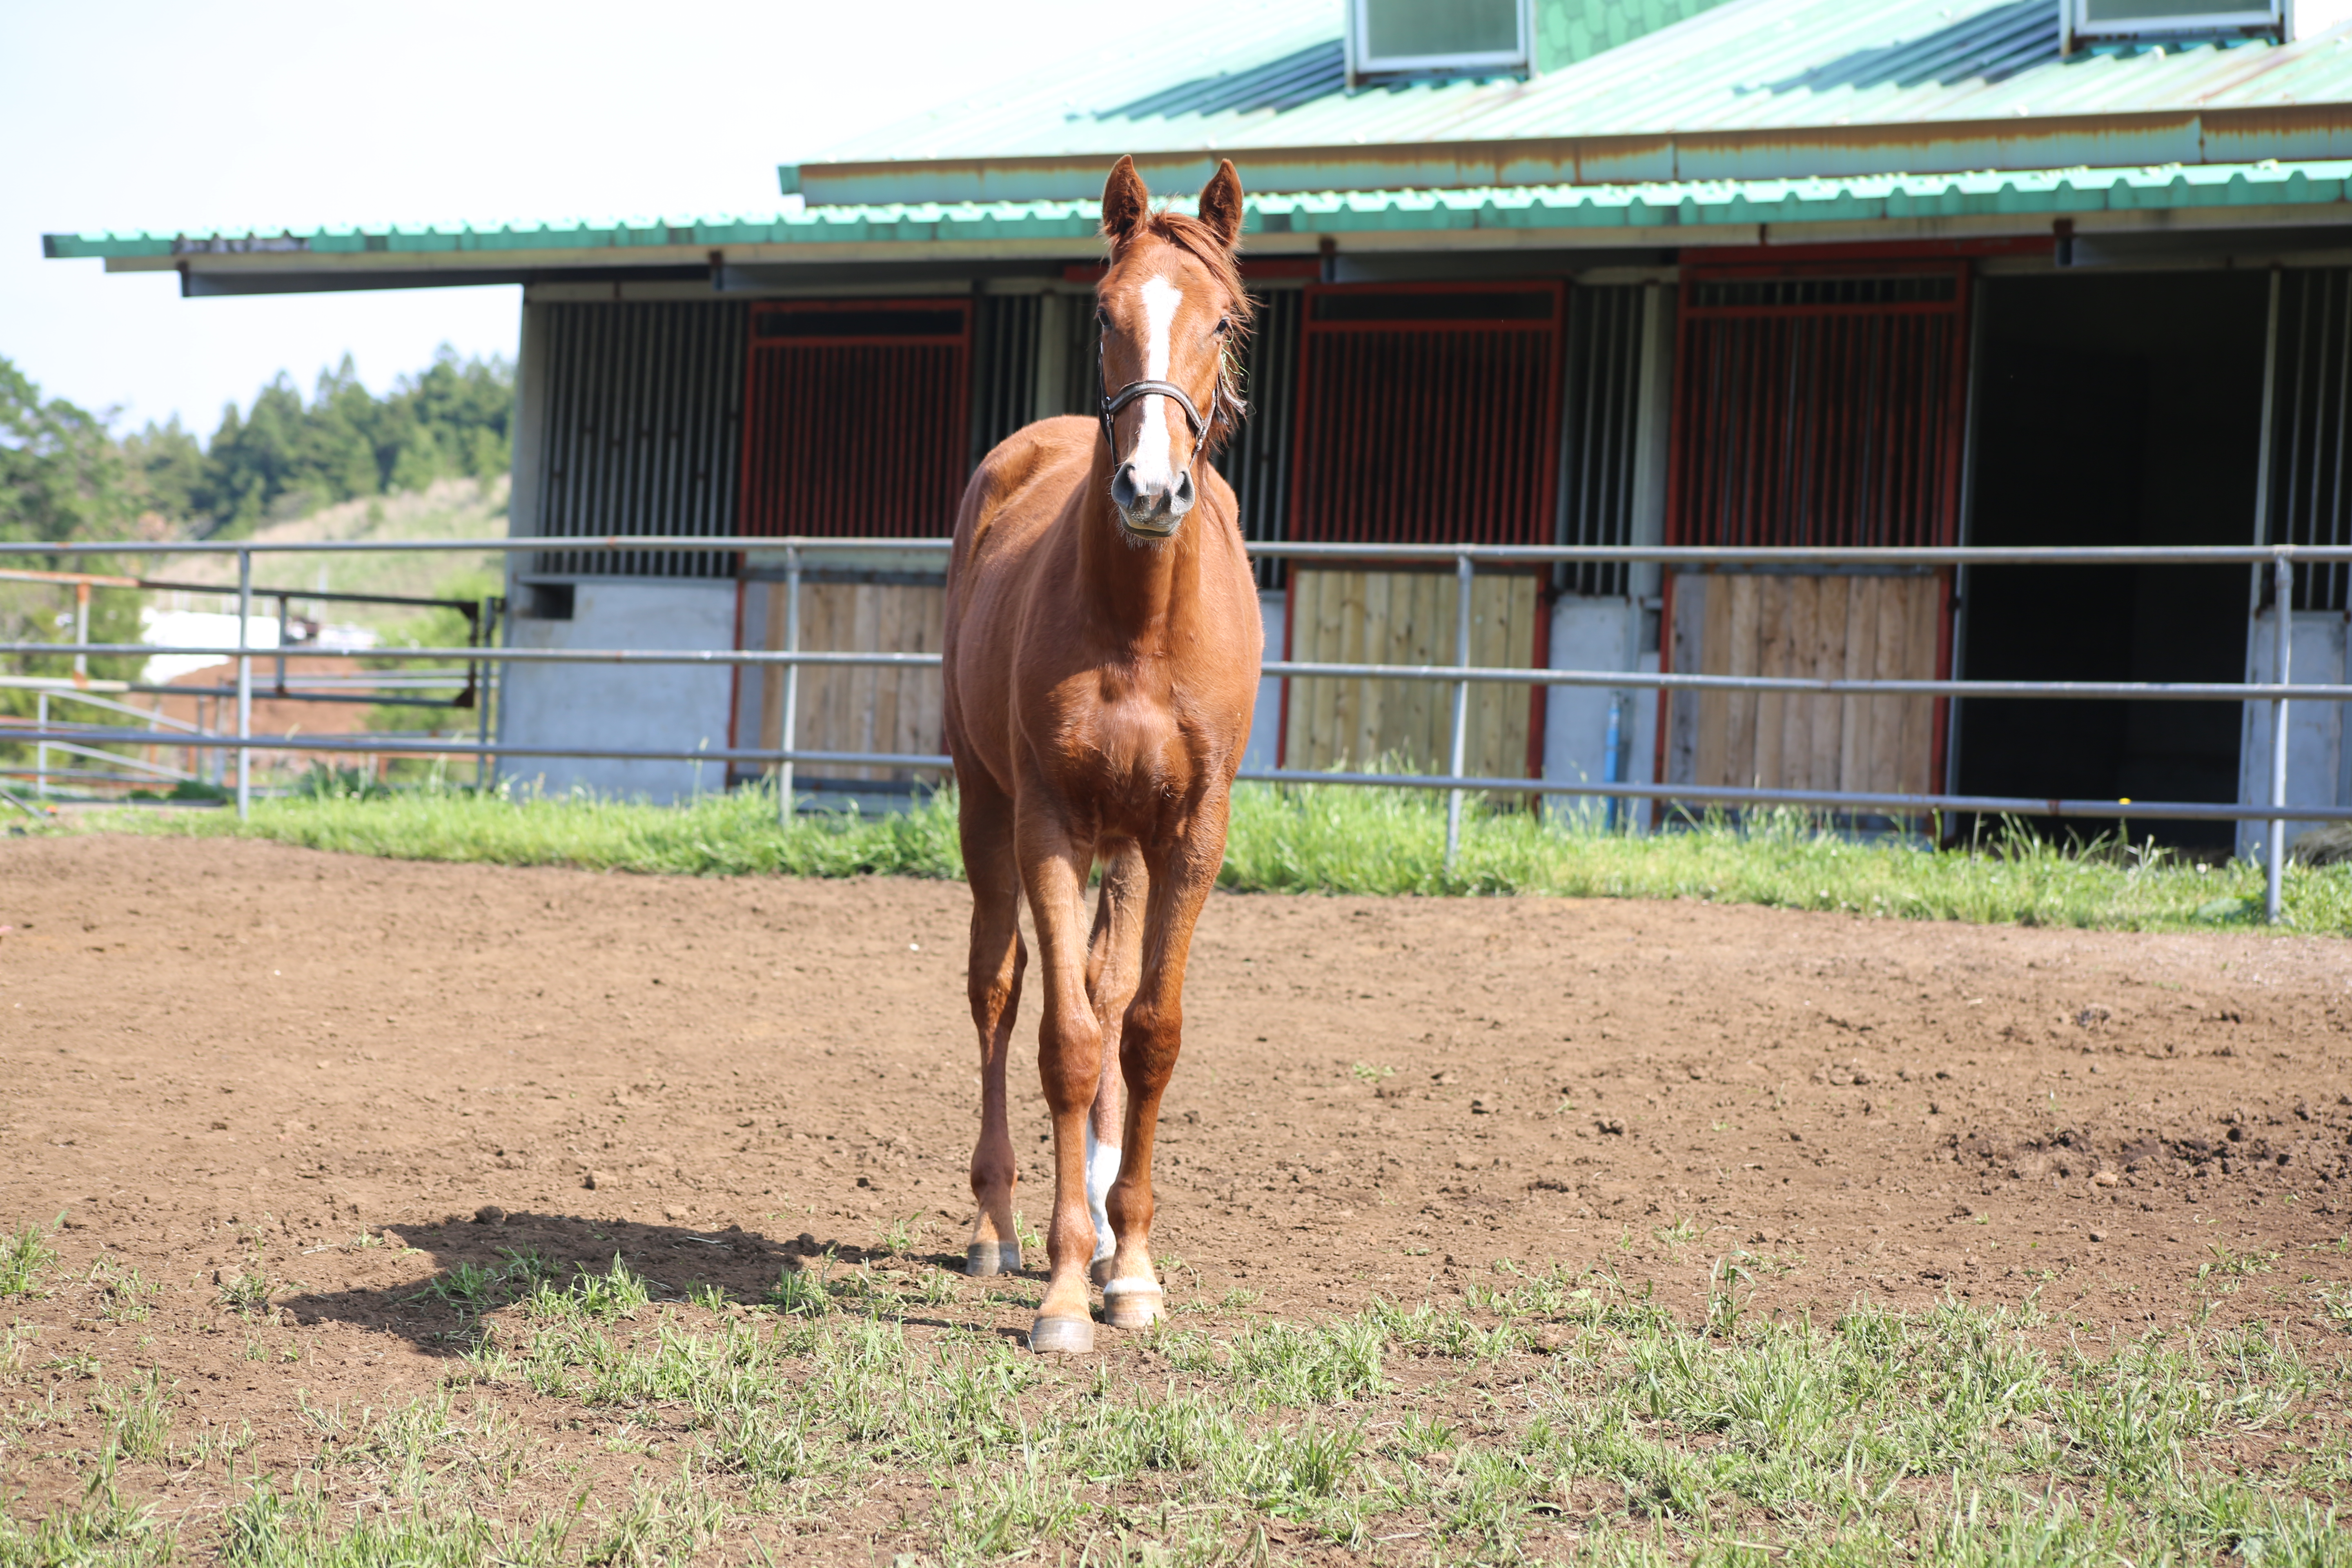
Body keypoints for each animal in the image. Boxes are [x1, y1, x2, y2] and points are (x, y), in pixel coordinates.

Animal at [941, 162, 1270, 1363]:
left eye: (1222, 321)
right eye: (1102, 314)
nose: (1148, 489)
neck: (1139, 625)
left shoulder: (1191, 831)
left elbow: (1147, 1034)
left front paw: (1128, 1265)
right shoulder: (1046, 820)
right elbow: (1066, 1042)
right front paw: (1062, 1289)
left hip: (1128, 844)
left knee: (1109, 983)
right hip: (984, 805)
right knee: (998, 988)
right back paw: (997, 1227)